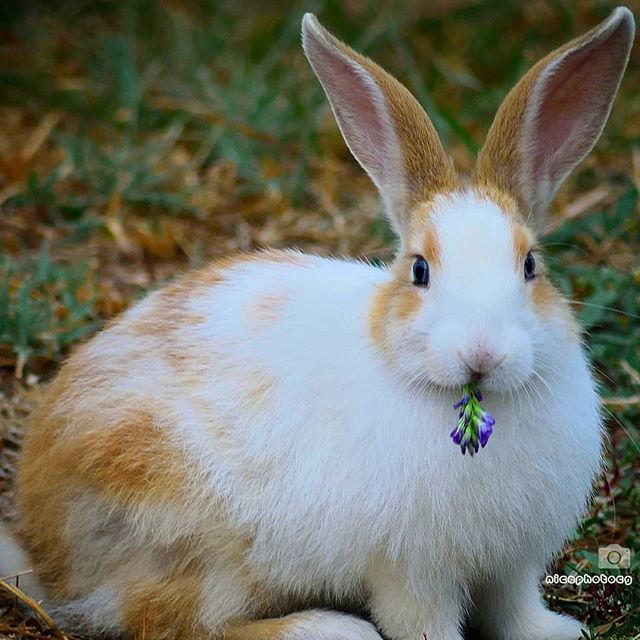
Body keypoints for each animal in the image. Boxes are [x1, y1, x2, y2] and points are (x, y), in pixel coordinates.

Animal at [1, 6, 636, 640]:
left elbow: (513, 610)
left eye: (530, 266)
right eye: (420, 270)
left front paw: (558, 633)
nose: (481, 352)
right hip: (195, 544)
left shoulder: (510, 565)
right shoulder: (409, 573)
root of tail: (45, 551)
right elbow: (423, 621)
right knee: (171, 620)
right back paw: (328, 627)